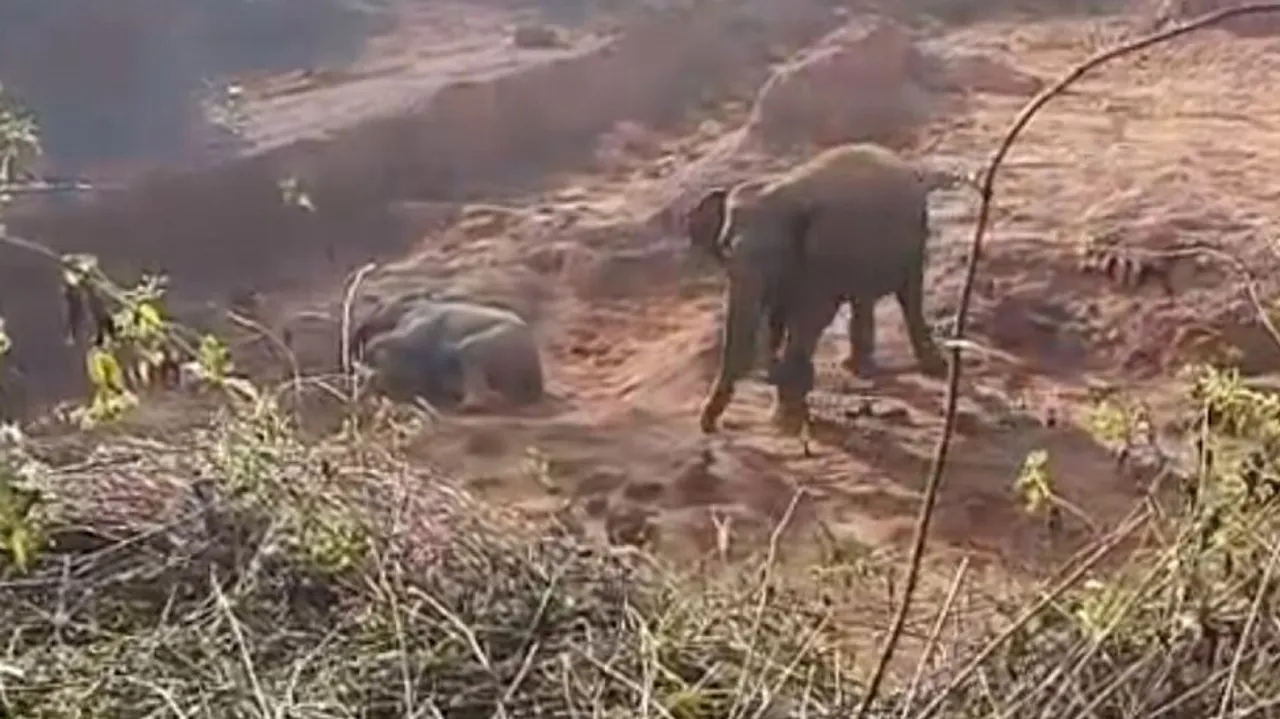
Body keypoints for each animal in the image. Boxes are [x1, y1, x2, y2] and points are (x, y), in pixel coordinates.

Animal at [349, 293, 545, 411]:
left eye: (379, 305)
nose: (360, 330)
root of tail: (536, 381)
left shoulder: (416, 327)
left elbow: (388, 339)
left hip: (491, 343)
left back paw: (468, 404)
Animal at [685, 142, 948, 435]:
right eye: (725, 248)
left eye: (773, 253)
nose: (708, 426)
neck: (780, 190)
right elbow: (778, 314)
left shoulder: (822, 258)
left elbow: (811, 317)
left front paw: (786, 418)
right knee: (863, 297)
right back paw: (856, 366)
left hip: (916, 237)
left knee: (909, 293)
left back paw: (932, 367)